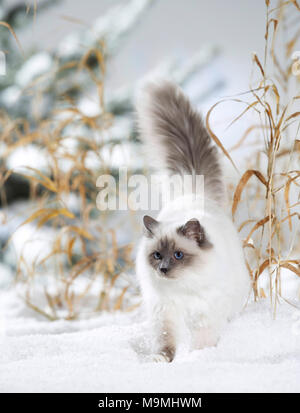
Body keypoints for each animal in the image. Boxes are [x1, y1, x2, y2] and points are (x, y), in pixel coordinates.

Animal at [135, 79, 250, 360]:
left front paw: (200, 359)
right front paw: (161, 361)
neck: (184, 287)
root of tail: (193, 191)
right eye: (157, 255)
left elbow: (202, 341)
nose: (164, 269)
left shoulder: (204, 314)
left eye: (178, 255)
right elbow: (166, 343)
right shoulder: (165, 312)